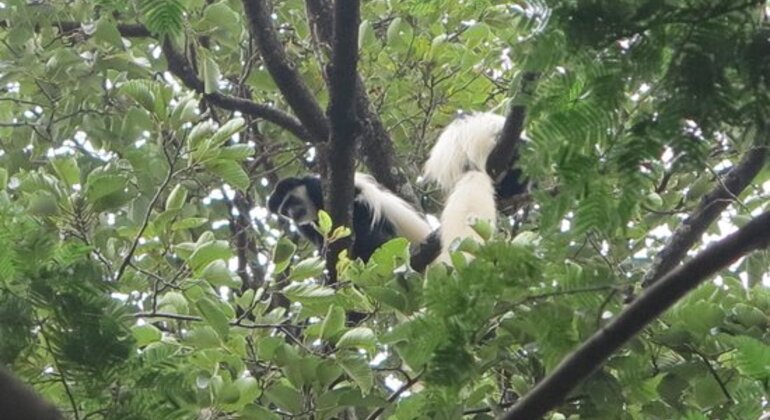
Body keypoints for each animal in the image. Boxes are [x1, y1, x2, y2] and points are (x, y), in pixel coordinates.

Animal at [266, 172, 432, 260]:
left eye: (290, 201)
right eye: (284, 211)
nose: (292, 213)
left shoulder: (316, 188)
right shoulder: (304, 225)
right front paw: (322, 250)